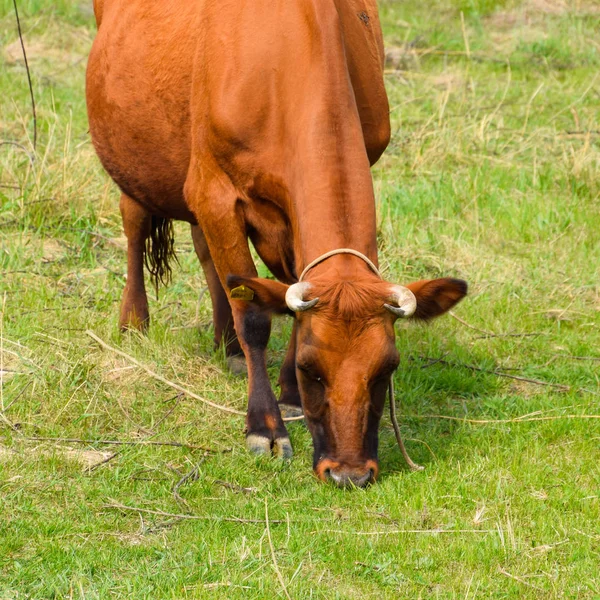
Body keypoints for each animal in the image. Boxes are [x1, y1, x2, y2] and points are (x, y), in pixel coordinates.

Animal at [86, 0, 466, 488]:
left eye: (388, 369)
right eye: (310, 368)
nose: (349, 473)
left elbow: (281, 293)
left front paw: (286, 394)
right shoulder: (213, 190)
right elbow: (255, 316)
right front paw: (265, 427)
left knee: (209, 256)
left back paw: (227, 345)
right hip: (137, 157)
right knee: (135, 225)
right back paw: (134, 323)